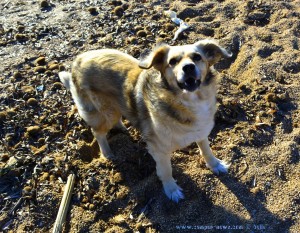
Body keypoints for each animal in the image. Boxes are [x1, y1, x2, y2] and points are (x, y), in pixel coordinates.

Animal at [58, 39, 232, 202]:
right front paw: (172, 190)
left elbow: (206, 150)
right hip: (105, 112)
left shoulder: (201, 132)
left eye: (197, 57)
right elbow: (166, 171)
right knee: (98, 132)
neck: (188, 102)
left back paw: (122, 127)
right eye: (172, 61)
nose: (188, 67)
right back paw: (107, 152)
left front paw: (215, 165)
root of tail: (78, 60)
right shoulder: (159, 150)